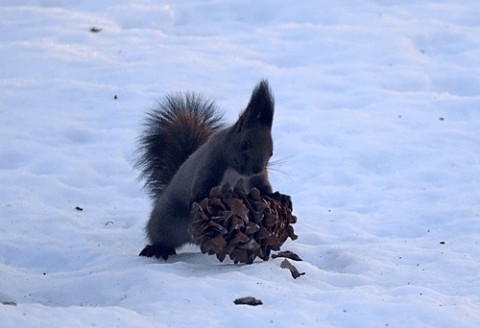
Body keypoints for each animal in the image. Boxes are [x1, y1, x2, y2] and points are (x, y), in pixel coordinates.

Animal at [137, 79, 276, 258]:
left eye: (271, 152)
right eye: (244, 143)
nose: (257, 168)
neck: (237, 172)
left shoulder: (257, 178)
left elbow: (262, 187)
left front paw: (272, 198)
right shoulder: (210, 162)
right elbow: (203, 181)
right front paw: (200, 197)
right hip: (166, 219)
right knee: (161, 235)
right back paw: (159, 249)